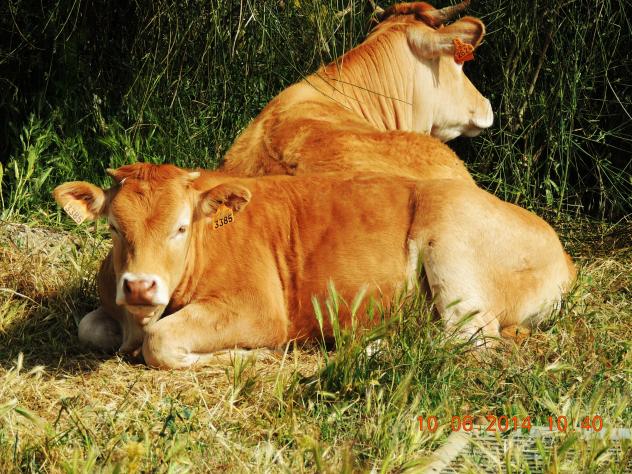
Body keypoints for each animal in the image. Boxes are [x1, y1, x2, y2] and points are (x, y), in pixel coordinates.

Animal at [53, 163, 575, 369]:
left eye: (181, 227)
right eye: (114, 229)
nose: (140, 286)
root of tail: (564, 253)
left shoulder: (259, 309)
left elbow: (161, 344)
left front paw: (250, 356)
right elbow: (87, 327)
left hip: (451, 243)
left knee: (472, 341)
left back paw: (375, 348)